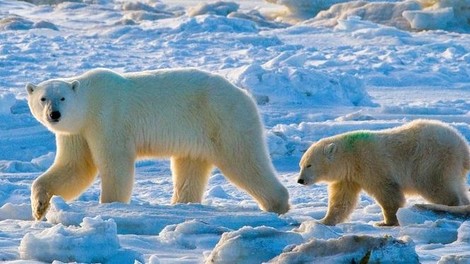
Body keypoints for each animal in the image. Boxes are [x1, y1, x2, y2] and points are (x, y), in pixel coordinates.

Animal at [27, 68, 290, 221]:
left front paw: (111, 206)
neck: (90, 101)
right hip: (196, 136)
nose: (54, 115)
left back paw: (277, 205)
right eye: (43, 98)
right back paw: (182, 205)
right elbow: (74, 167)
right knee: (190, 168)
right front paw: (39, 207)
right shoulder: (77, 132)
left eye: (62, 98)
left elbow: (115, 163)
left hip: (224, 119)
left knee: (244, 160)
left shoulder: (107, 118)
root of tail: (244, 95)